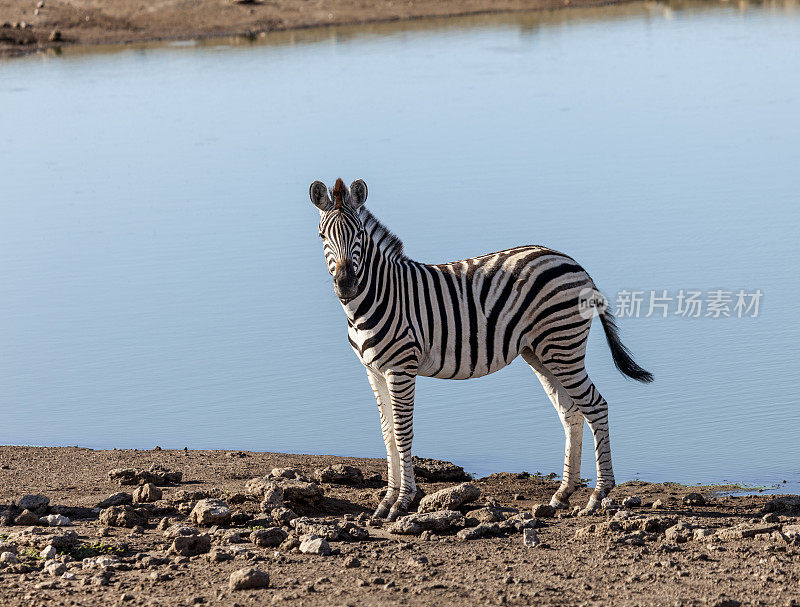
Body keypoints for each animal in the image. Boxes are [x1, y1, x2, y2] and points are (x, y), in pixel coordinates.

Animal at [310, 177, 652, 524]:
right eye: (322, 235)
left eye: (359, 234)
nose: (346, 285)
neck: (379, 296)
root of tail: (575, 264)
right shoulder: (374, 370)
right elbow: (387, 433)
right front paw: (386, 501)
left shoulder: (401, 367)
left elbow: (403, 432)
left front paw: (402, 502)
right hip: (541, 352)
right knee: (571, 412)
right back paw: (562, 494)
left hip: (562, 346)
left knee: (596, 406)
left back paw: (598, 495)